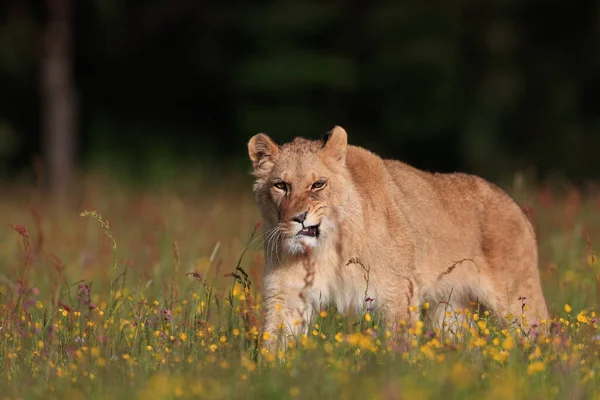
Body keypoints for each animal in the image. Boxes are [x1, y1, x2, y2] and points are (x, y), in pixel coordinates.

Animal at [247, 125, 548, 346]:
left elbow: (399, 346)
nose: (299, 218)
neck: (327, 248)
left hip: (519, 300)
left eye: (318, 184)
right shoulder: (286, 295)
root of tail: (514, 204)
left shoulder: (397, 291)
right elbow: (275, 345)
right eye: (280, 185)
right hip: (451, 310)